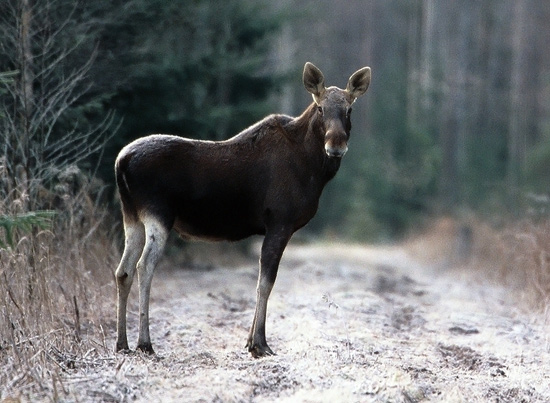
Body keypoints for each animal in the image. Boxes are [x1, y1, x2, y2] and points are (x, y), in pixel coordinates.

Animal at [115, 61, 376, 358]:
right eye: (320, 108)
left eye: (349, 109)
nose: (336, 146)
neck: (314, 171)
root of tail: (121, 161)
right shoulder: (280, 221)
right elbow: (265, 282)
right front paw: (259, 343)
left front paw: (250, 340)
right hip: (158, 214)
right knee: (144, 265)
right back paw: (144, 342)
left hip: (132, 216)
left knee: (123, 270)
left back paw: (122, 343)